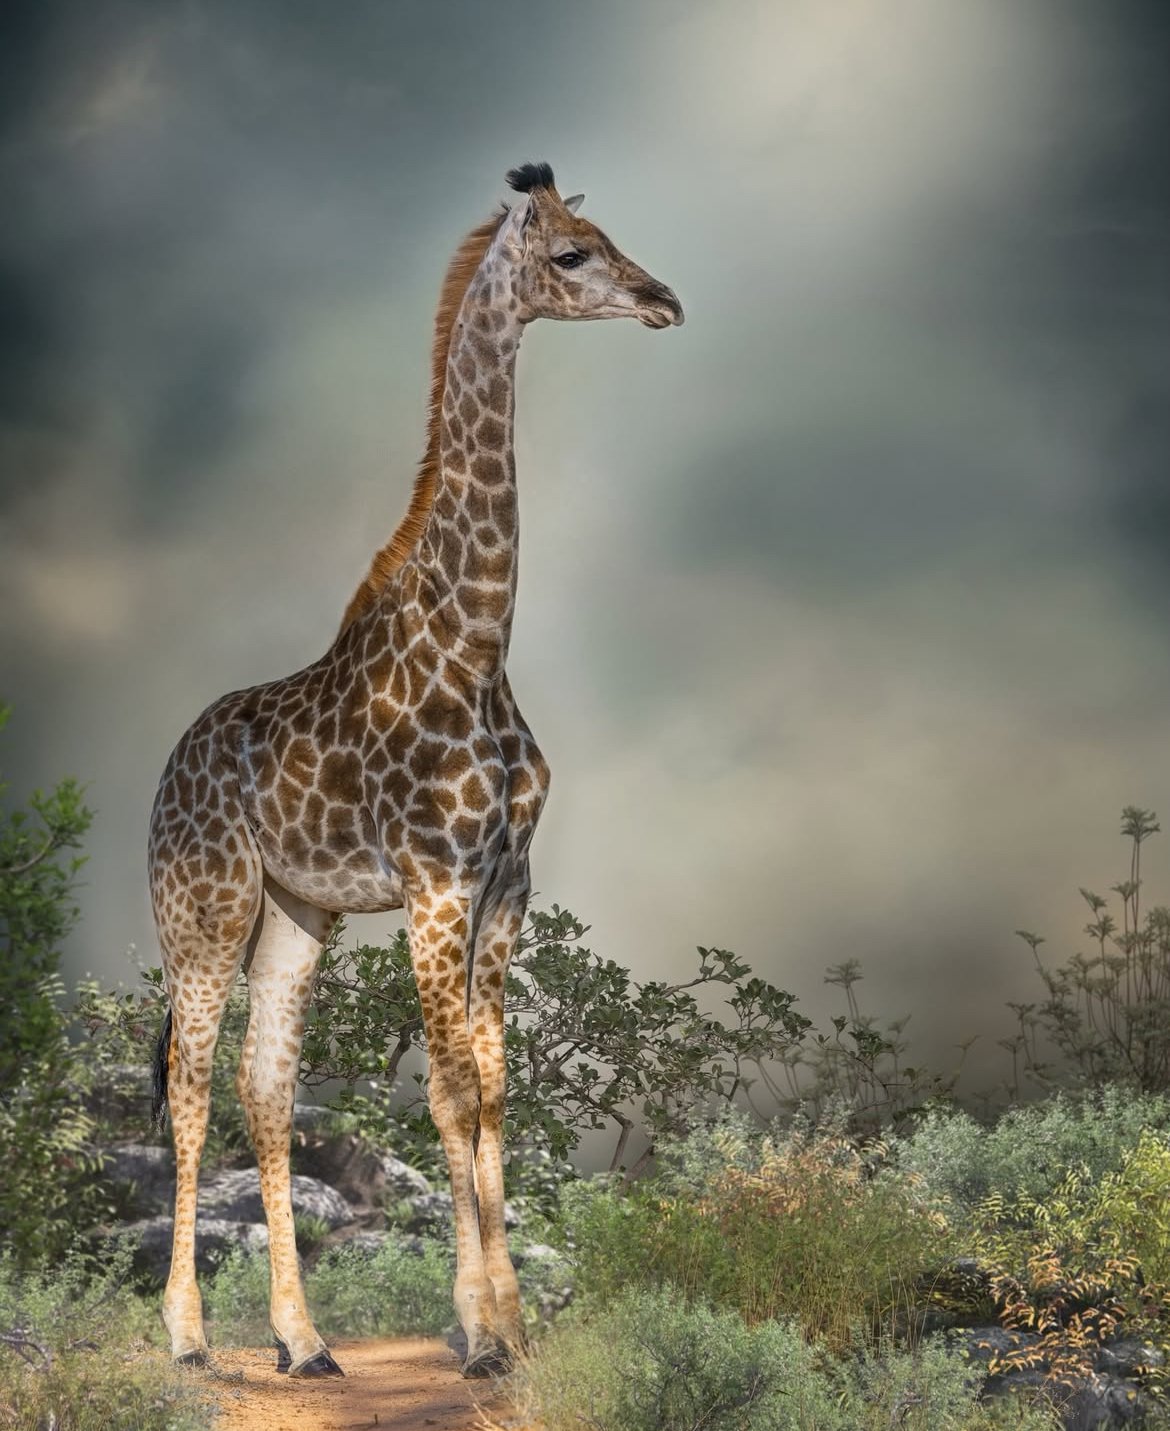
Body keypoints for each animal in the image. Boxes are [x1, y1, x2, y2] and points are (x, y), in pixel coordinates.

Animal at [147, 161, 682, 1380]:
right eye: (572, 254)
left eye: (609, 238)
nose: (665, 301)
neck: (478, 641)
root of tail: (162, 774)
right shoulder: (436, 879)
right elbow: (446, 1089)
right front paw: (481, 1333)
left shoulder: (506, 883)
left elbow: (493, 1089)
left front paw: (508, 1326)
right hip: (203, 909)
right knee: (191, 1088)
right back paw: (190, 1339)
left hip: (296, 913)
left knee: (264, 1083)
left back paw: (303, 1342)